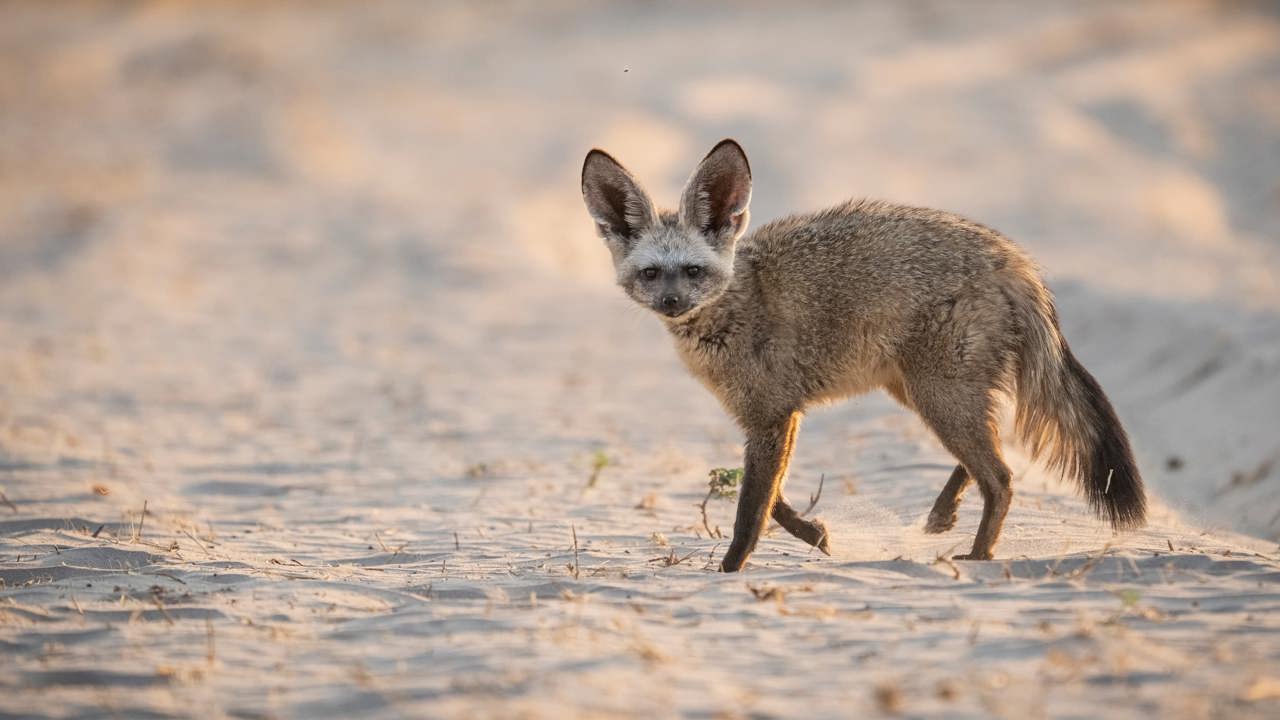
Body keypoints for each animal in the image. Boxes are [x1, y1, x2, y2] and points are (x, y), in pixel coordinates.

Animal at [580, 139, 1146, 572]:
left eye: (693, 271)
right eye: (652, 274)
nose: (673, 304)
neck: (737, 308)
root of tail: (1011, 257)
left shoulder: (772, 417)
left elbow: (752, 511)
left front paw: (730, 570)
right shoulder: (771, 417)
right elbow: (776, 501)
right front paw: (816, 533)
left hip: (938, 395)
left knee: (1002, 479)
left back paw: (979, 556)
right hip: (921, 391)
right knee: (995, 455)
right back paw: (945, 514)